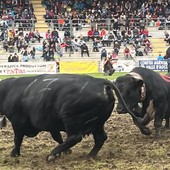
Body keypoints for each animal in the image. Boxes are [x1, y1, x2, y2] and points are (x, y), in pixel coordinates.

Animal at [0, 74, 141, 161]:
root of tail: (100, 81)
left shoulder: (17, 121)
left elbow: (17, 138)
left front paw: (14, 153)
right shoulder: (51, 124)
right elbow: (57, 137)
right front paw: (66, 152)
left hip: (71, 118)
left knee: (75, 137)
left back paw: (52, 154)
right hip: (98, 123)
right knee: (101, 137)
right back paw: (89, 155)